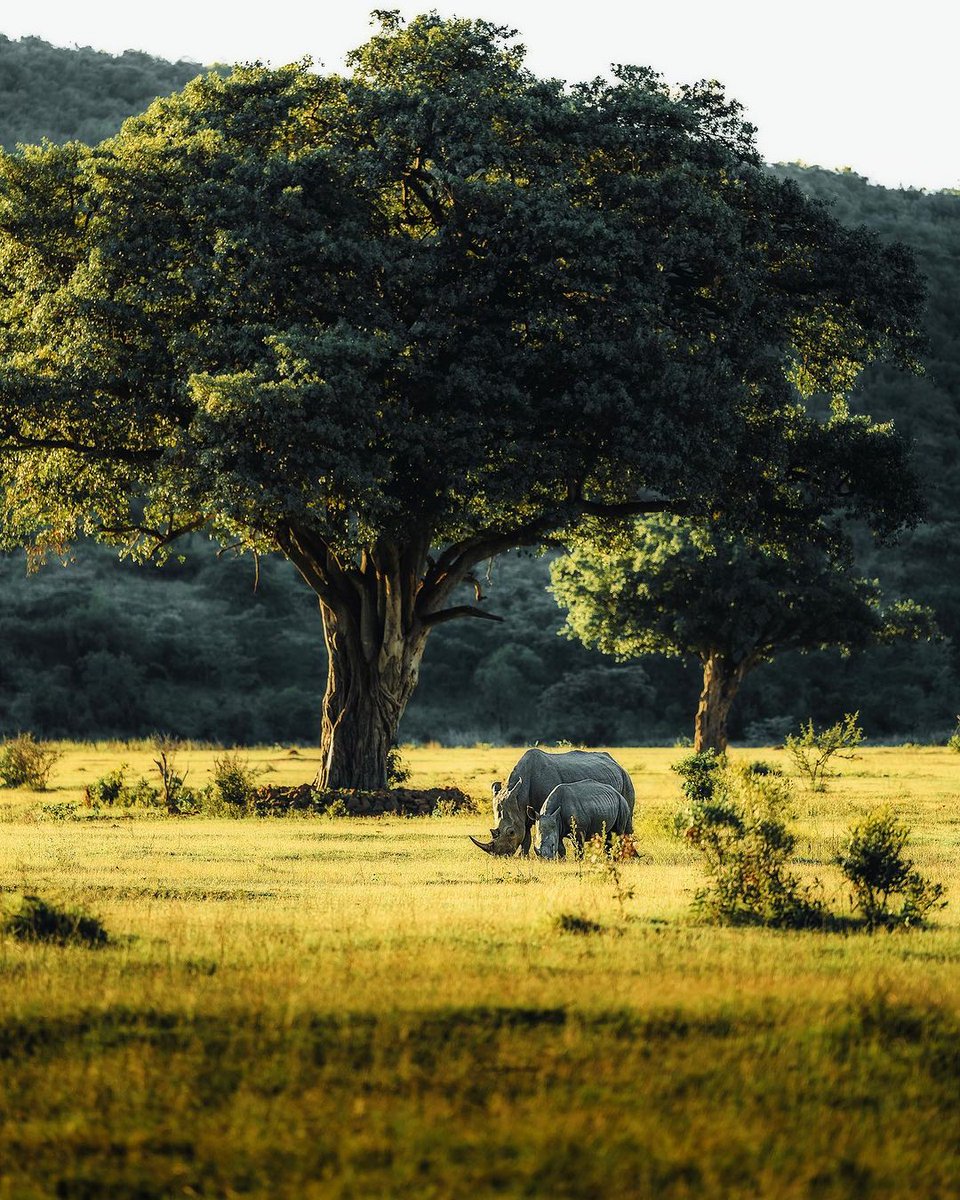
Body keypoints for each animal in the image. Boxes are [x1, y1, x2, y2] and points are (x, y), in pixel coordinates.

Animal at [469, 748, 635, 856]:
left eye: (510, 832)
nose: (500, 855)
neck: (519, 794)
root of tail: (615, 762)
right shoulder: (523, 811)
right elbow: (526, 836)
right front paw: (524, 857)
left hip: (626, 779)